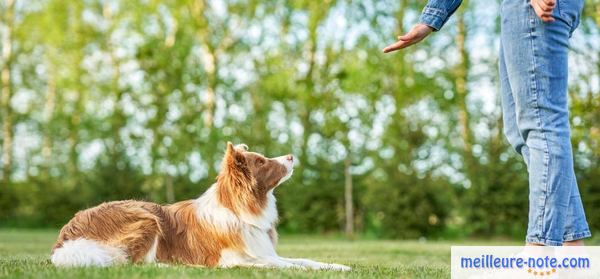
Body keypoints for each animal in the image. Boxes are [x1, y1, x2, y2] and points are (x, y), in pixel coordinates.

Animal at [51, 143, 352, 272]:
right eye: (262, 161)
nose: (291, 156)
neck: (241, 211)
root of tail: (66, 236)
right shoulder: (237, 258)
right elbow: (283, 265)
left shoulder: (261, 250)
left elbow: (302, 260)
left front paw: (336, 266)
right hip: (146, 217)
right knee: (131, 264)